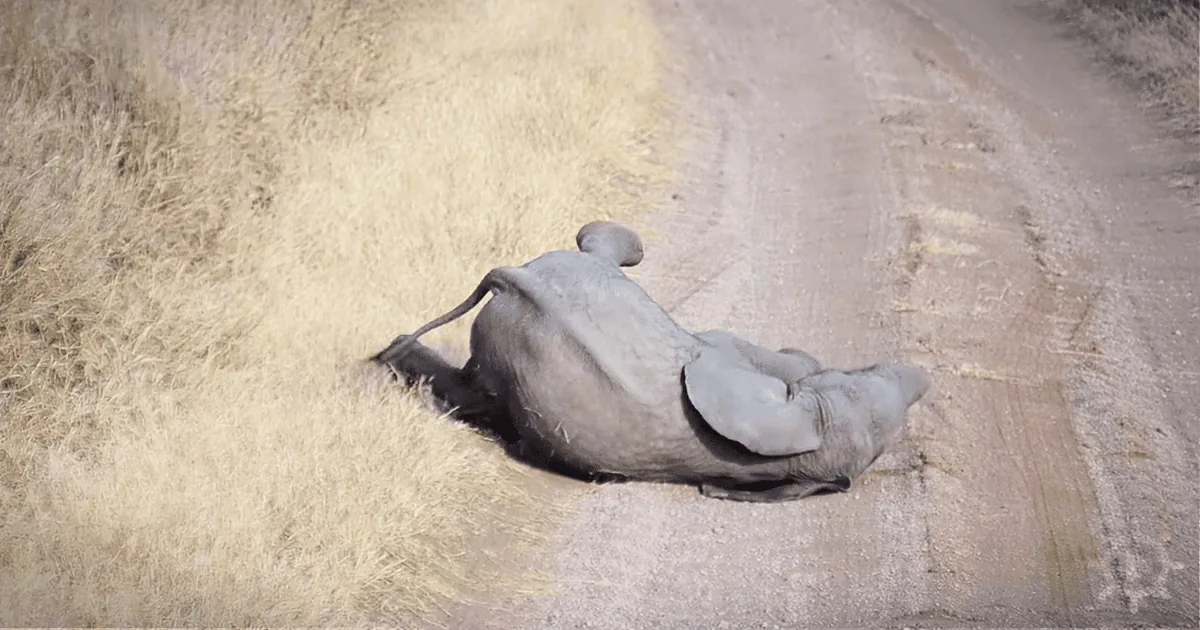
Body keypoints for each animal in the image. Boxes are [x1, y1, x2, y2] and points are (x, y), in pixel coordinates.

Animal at [371, 221, 931, 503]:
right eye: (852, 373)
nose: (920, 376)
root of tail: (515, 279)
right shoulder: (722, 360)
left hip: (509, 351)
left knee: (475, 391)